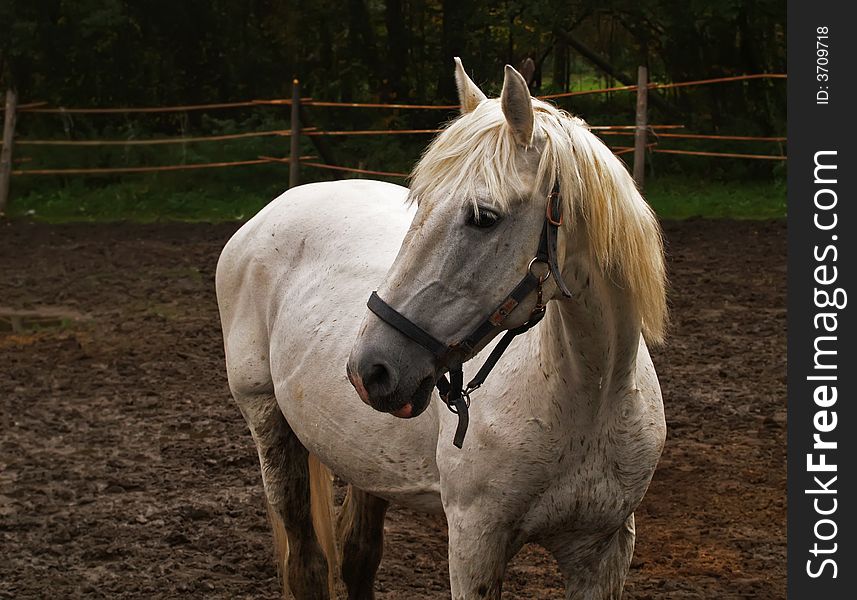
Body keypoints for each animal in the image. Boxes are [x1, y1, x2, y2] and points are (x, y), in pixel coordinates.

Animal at [216, 57, 668, 600]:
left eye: (483, 217)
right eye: (420, 203)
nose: (370, 368)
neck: (588, 397)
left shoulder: (603, 550)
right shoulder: (475, 541)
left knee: (357, 558)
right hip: (267, 420)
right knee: (306, 565)